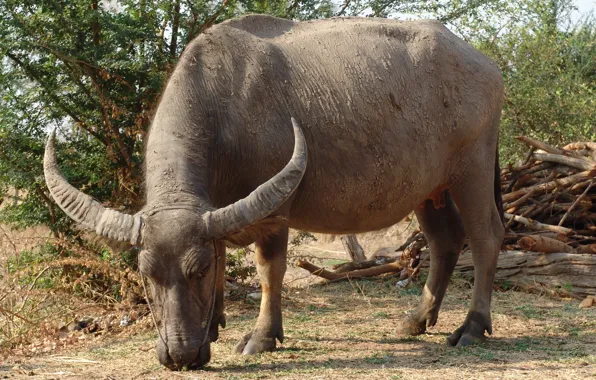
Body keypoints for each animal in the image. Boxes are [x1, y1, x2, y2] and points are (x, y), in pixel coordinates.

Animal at [44, 14, 506, 368]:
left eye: (196, 271)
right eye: (147, 274)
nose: (180, 355)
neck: (225, 110)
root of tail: (485, 63)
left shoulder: (274, 212)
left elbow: (269, 271)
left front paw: (262, 336)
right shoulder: (216, 210)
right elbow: (222, 252)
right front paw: (214, 324)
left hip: (473, 172)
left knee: (486, 237)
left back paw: (471, 326)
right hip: (430, 190)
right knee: (445, 242)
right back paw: (416, 319)